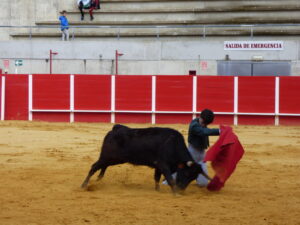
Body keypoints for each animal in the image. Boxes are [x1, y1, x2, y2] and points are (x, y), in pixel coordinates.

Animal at [81, 124, 210, 192]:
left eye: (193, 177)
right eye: (187, 174)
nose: (181, 189)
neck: (173, 144)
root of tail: (115, 129)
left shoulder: (158, 167)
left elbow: (157, 178)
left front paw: (157, 190)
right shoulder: (163, 165)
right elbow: (170, 179)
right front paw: (175, 193)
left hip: (115, 159)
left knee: (104, 166)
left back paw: (98, 178)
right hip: (107, 156)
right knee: (94, 166)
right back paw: (84, 185)